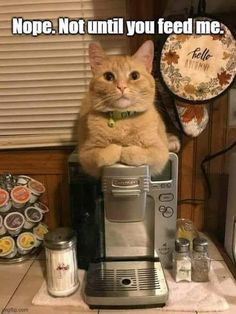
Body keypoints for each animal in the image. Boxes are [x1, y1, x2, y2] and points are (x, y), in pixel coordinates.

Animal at [77, 40, 173, 178]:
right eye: (108, 76)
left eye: (134, 75)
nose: (121, 87)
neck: (123, 119)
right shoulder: (86, 154)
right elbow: (102, 155)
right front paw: (118, 148)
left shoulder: (160, 151)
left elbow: (141, 153)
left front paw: (126, 150)